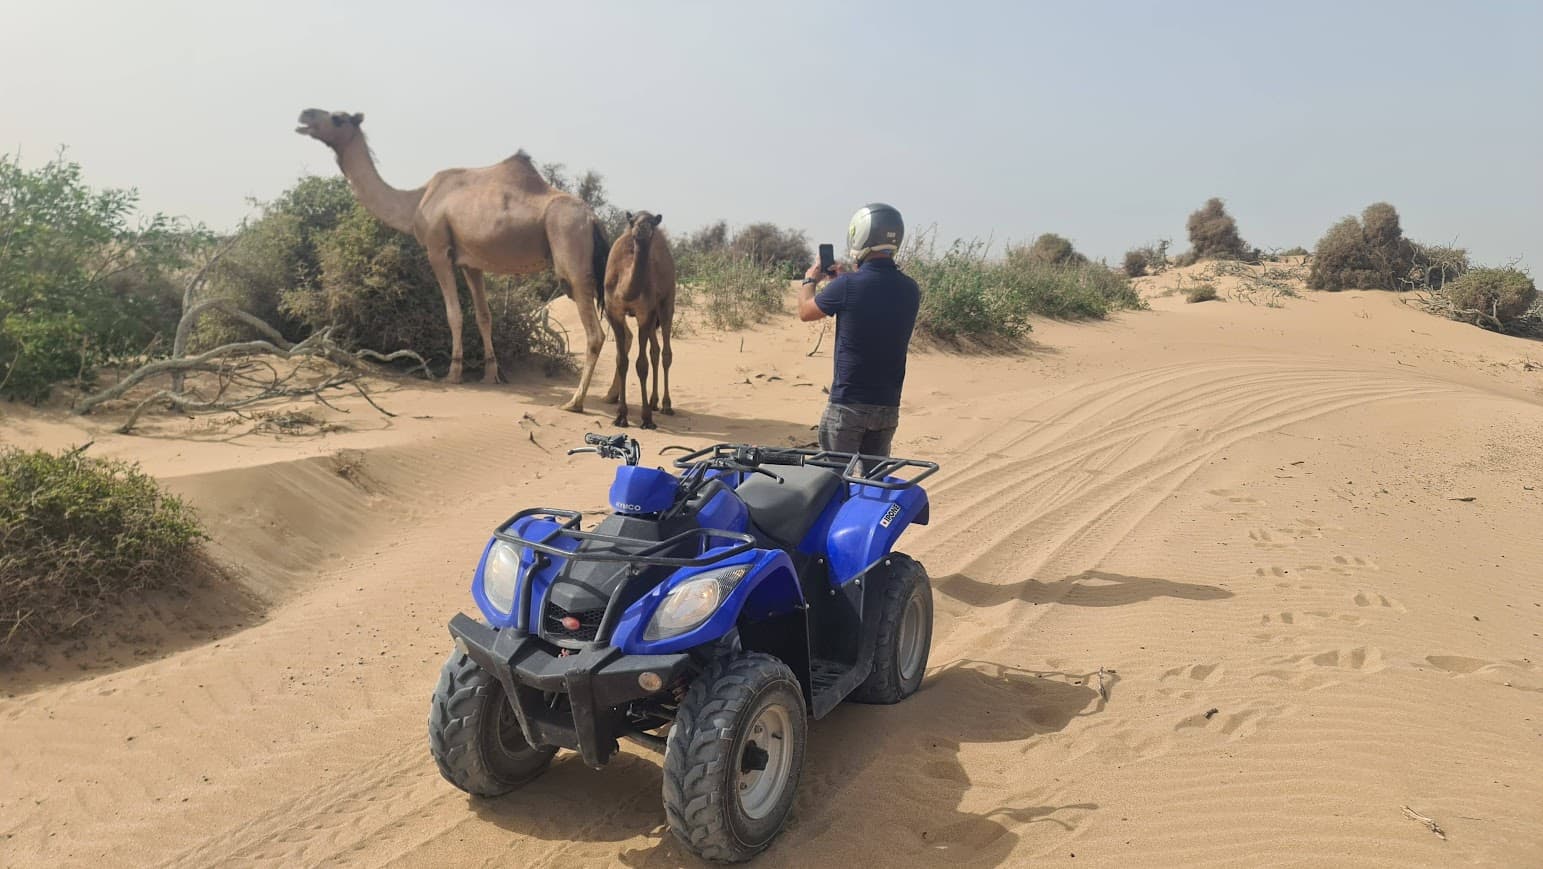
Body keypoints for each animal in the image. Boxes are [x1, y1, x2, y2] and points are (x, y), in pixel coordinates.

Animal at [294, 109, 608, 411]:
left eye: (337, 118)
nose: (304, 115)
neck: (415, 203)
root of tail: (593, 219)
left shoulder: (438, 249)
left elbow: (454, 313)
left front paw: (453, 374)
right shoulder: (471, 262)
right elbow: (483, 315)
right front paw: (491, 375)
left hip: (571, 252)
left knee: (596, 333)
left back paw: (575, 401)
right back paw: (609, 399)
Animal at [601, 211, 676, 429]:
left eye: (651, 221)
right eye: (633, 221)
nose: (641, 229)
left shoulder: (645, 314)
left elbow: (641, 365)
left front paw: (646, 418)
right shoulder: (614, 312)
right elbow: (622, 361)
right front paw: (621, 416)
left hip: (666, 302)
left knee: (666, 352)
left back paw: (666, 405)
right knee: (655, 351)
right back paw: (653, 401)